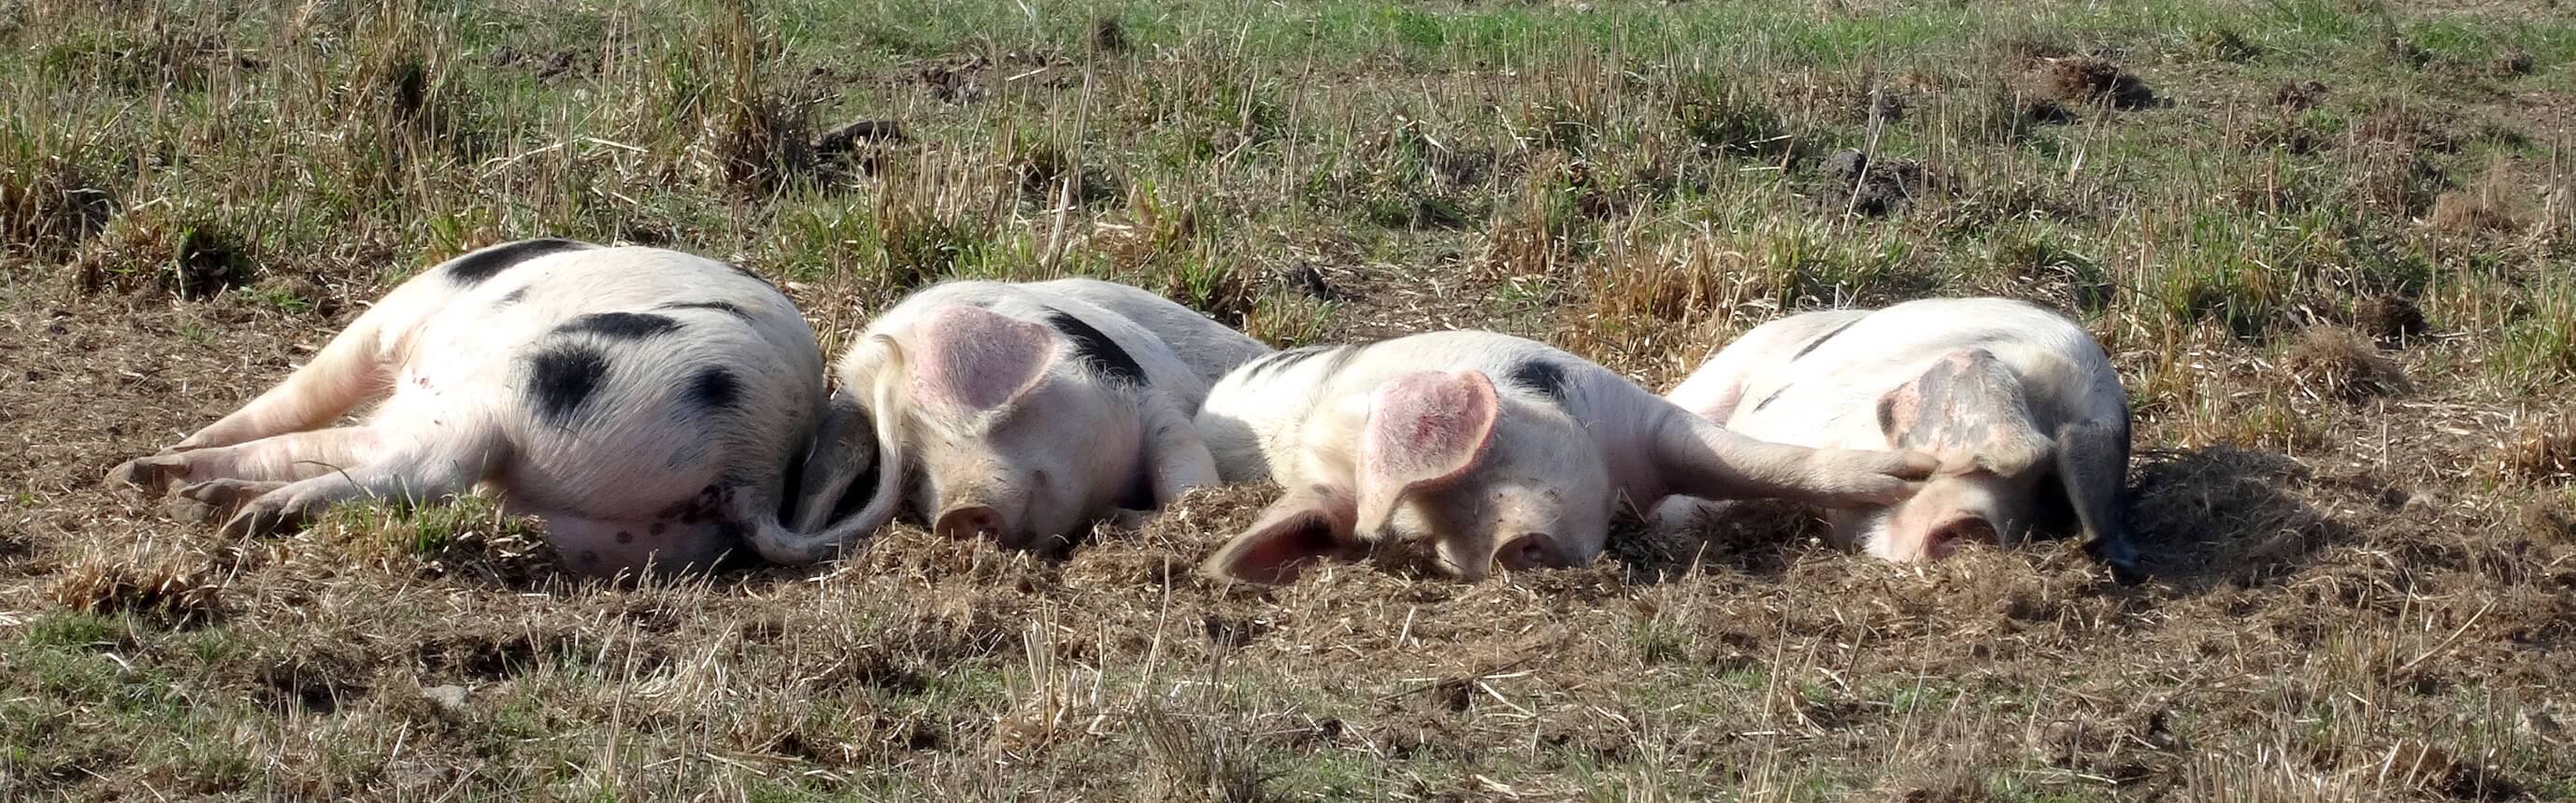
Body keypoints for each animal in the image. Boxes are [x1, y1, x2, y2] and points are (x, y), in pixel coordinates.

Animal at [110, 237, 823, 576]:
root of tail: (754, 461)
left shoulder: (387, 322)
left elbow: (300, 393)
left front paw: (153, 460)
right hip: (599, 530)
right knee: (388, 466)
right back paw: (200, 496)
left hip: (521, 388)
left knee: (414, 465)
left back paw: (189, 490)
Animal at [1184, 328, 1937, 583]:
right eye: (1419, 539)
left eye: (1476, 462)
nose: (1507, 549)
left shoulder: (1637, 414)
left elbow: (1741, 459)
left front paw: (1911, 480)